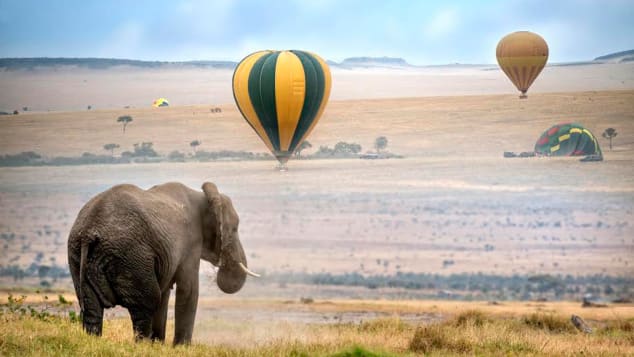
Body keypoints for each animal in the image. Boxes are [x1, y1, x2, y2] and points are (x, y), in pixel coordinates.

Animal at [67, 182, 260, 344]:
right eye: (234, 229)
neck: (203, 196)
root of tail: (89, 233)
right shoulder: (190, 242)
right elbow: (188, 290)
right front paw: (181, 348)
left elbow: (166, 292)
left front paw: (158, 345)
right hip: (131, 257)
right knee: (147, 302)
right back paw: (142, 346)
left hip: (78, 256)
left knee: (91, 307)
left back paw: (94, 342)